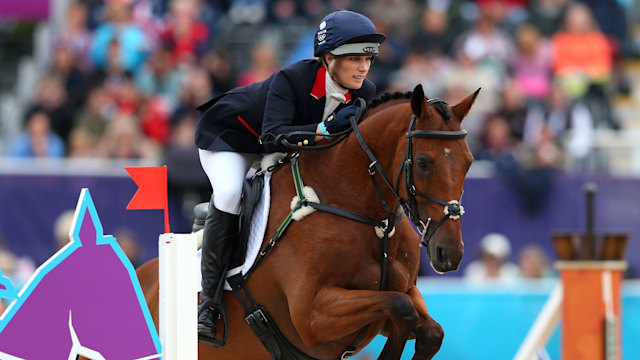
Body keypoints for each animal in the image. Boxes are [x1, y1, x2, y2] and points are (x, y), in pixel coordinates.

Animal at [136, 85, 476, 360]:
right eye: (422, 162)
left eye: (469, 162)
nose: (450, 253)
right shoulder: (312, 315)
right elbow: (400, 308)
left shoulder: (404, 293)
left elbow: (429, 330)